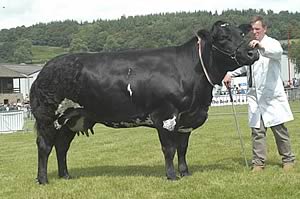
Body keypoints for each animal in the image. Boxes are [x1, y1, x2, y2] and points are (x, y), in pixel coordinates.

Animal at [31, 21, 260, 184]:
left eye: (242, 34)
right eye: (222, 38)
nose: (252, 52)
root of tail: (45, 69)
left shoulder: (186, 120)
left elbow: (183, 148)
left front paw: (185, 173)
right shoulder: (166, 116)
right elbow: (169, 149)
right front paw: (172, 176)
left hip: (71, 119)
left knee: (62, 147)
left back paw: (65, 176)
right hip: (49, 118)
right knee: (44, 146)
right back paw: (43, 180)